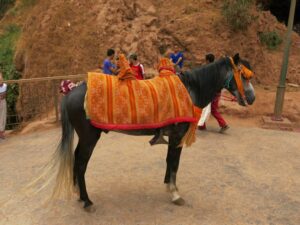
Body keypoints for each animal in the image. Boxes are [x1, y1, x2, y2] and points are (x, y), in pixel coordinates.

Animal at [44, 54, 255, 211]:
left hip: (85, 137)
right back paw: (87, 201)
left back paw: (78, 193)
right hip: (89, 137)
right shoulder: (177, 137)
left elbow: (169, 162)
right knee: (81, 164)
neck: (189, 91)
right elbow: (174, 163)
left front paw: (168, 185)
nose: (252, 98)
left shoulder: (172, 137)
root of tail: (71, 93)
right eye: (243, 75)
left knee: (76, 158)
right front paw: (175, 193)